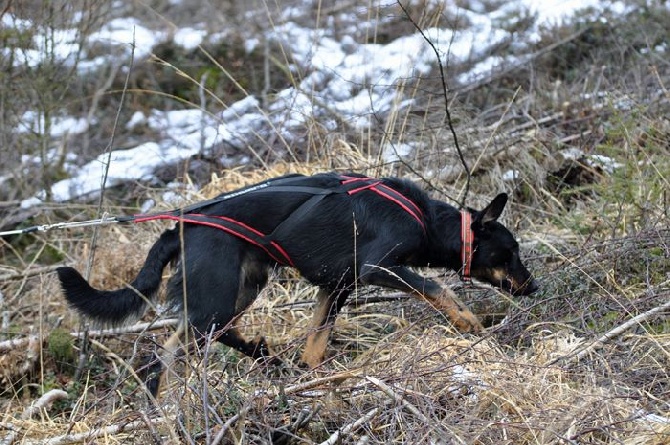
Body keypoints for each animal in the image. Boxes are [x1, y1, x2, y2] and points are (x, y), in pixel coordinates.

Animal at [57, 172, 540, 394]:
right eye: (510, 252)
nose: (533, 287)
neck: (424, 219)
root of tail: (180, 226)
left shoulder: (336, 288)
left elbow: (316, 341)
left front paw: (310, 376)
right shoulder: (377, 269)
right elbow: (438, 288)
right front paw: (467, 322)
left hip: (243, 286)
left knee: (214, 334)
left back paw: (262, 354)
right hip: (216, 294)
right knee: (169, 353)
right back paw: (169, 404)